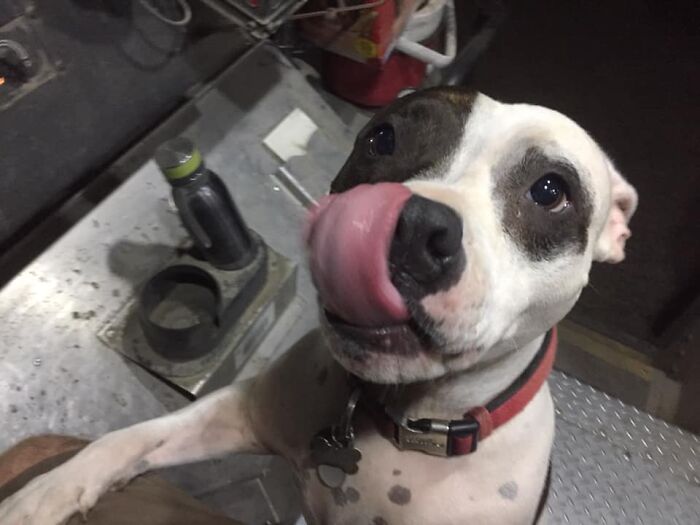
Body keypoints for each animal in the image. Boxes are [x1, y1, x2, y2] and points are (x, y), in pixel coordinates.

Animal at [0, 87, 637, 525]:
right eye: (383, 138)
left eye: (550, 190)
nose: (412, 229)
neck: (401, 423)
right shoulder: (236, 413)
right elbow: (125, 440)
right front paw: (43, 494)